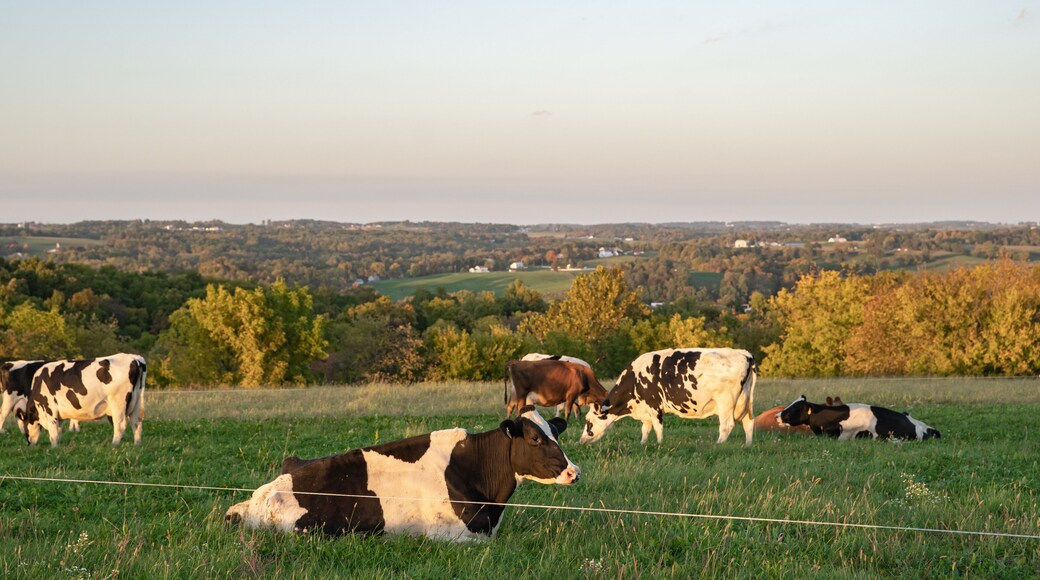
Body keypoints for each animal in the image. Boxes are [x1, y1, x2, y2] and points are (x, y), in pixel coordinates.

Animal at [14, 353, 146, 447]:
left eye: (25, 428)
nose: (29, 443)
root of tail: (134, 358)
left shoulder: (49, 410)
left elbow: (53, 433)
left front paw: (54, 448)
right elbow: (58, 431)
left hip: (118, 403)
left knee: (120, 425)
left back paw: (114, 445)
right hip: (136, 402)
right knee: (136, 423)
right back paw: (137, 444)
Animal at [579, 348, 756, 446]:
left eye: (588, 422)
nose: (581, 441)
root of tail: (744, 353)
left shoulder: (654, 405)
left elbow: (658, 428)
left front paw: (659, 444)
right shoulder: (646, 410)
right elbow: (645, 429)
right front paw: (642, 444)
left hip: (726, 401)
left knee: (727, 425)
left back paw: (718, 444)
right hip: (746, 400)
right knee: (749, 422)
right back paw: (748, 445)